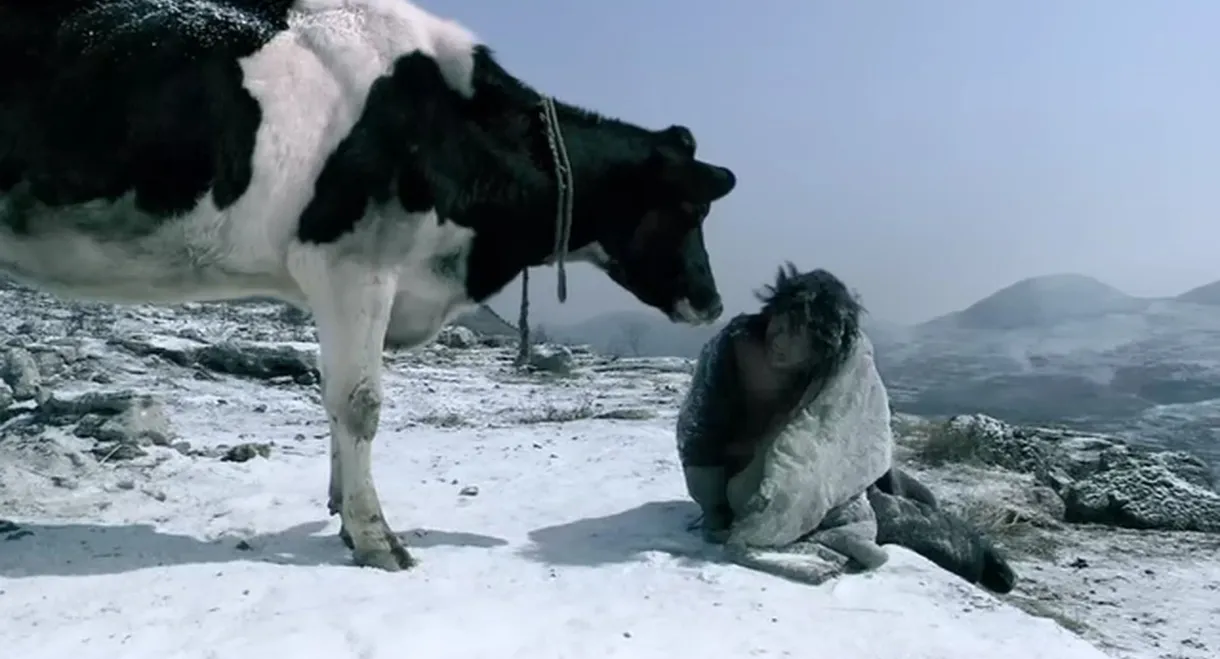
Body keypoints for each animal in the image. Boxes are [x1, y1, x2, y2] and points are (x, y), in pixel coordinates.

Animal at [0, 0, 738, 571]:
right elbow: (359, 404)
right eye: (687, 208)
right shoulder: (354, 262)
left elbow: (331, 397)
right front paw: (375, 537)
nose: (712, 302)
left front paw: (339, 507)